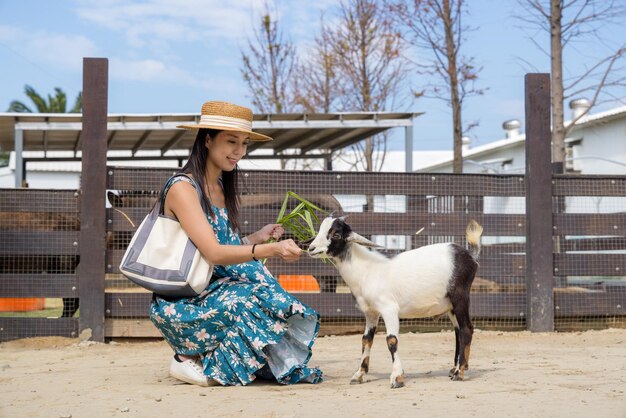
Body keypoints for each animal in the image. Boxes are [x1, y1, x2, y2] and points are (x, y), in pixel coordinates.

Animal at [308, 219, 482, 388]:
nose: (311, 248)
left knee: (466, 329)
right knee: (458, 331)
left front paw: (397, 377)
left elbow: (391, 340)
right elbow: (366, 339)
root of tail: (470, 256)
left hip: (460, 296)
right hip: (450, 305)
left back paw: (459, 372)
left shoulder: (389, 308)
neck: (367, 271)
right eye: (321, 230)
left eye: (336, 234)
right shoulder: (371, 312)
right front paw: (359, 374)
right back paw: (455, 368)